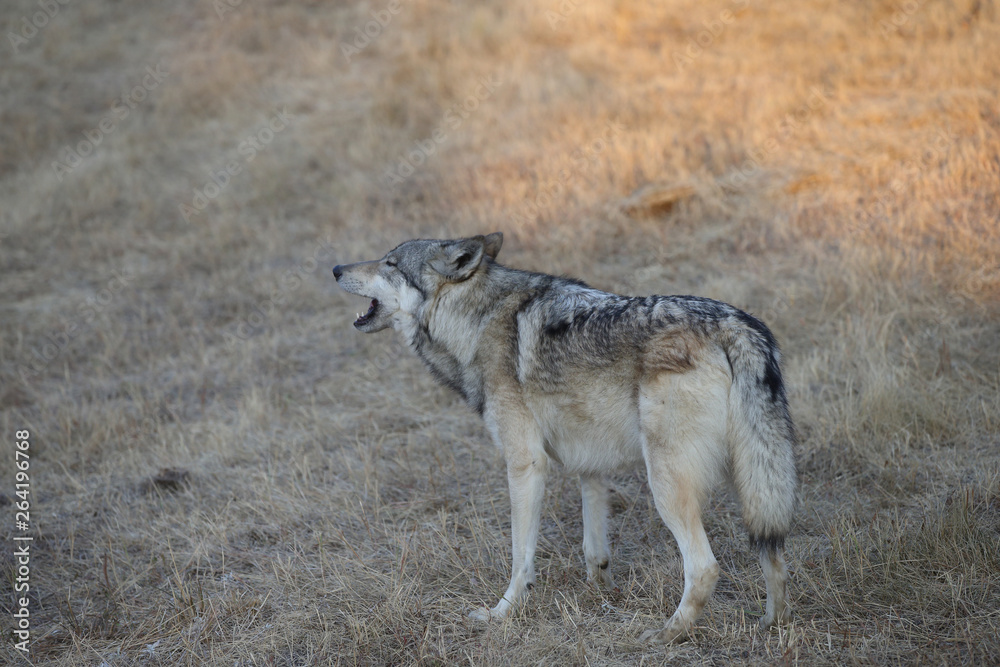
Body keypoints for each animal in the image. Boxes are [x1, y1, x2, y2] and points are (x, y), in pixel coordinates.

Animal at [332, 233, 797, 643]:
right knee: (773, 551)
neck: (476, 319)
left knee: (704, 567)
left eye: (390, 263)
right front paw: (600, 596)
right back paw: (771, 624)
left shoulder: (526, 464)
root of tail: (739, 326)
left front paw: (503, 613)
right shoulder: (590, 466)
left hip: (667, 484)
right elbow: (594, 550)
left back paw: (667, 635)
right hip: (756, 480)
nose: (335, 269)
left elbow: (521, 556)